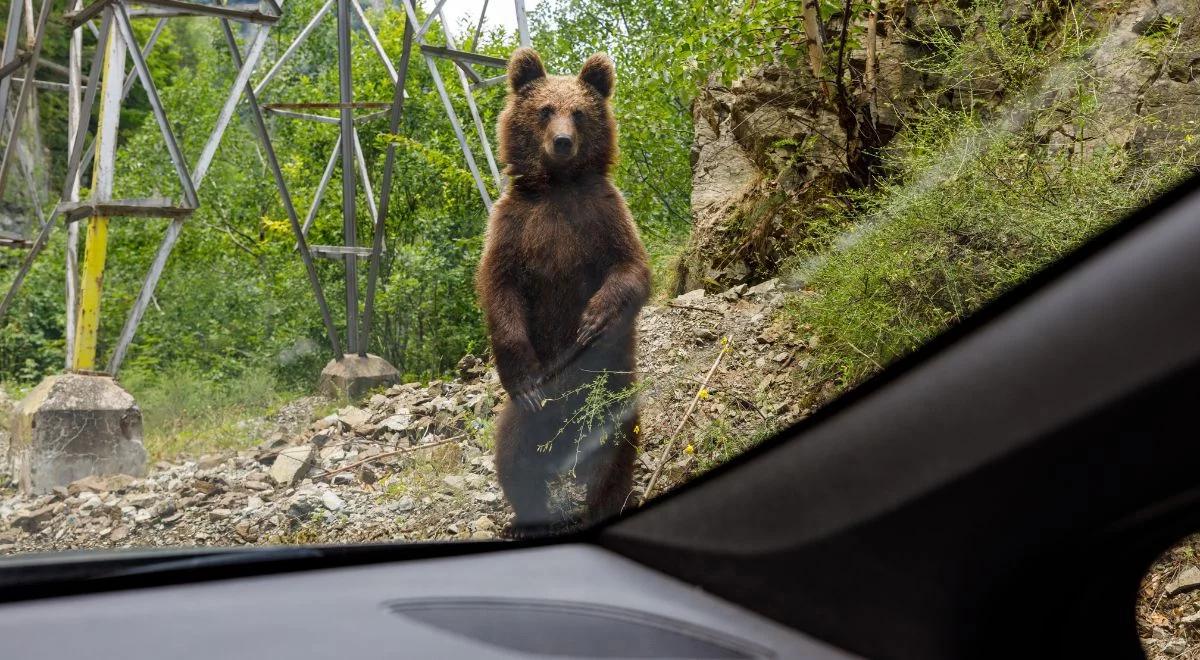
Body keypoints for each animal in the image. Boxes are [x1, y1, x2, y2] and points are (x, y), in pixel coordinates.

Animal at [475, 49, 652, 540]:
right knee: (515, 455)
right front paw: (525, 377)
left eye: (579, 112)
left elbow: (632, 268)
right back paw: (528, 519)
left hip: (612, 393)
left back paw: (606, 503)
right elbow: (500, 290)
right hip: (530, 418)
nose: (562, 142)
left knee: (614, 449)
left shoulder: (603, 214)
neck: (556, 187)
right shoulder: (513, 228)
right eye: (544, 110)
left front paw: (594, 319)